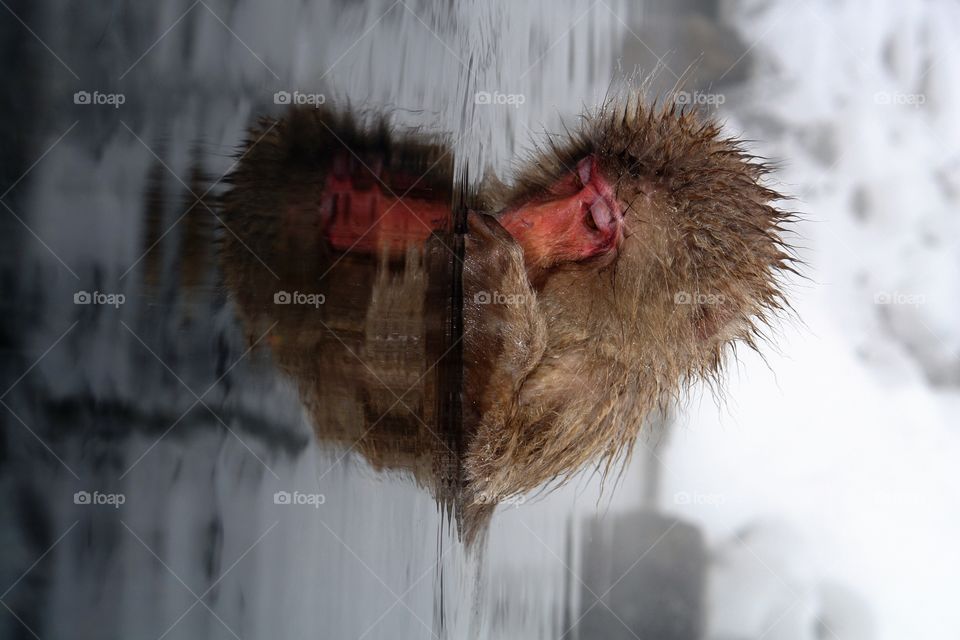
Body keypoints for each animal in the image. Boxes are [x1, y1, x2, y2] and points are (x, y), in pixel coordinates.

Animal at [215, 98, 795, 540]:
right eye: (582, 179)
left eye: (597, 222)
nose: (525, 219)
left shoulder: (589, 398)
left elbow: (471, 471)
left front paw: (500, 306)